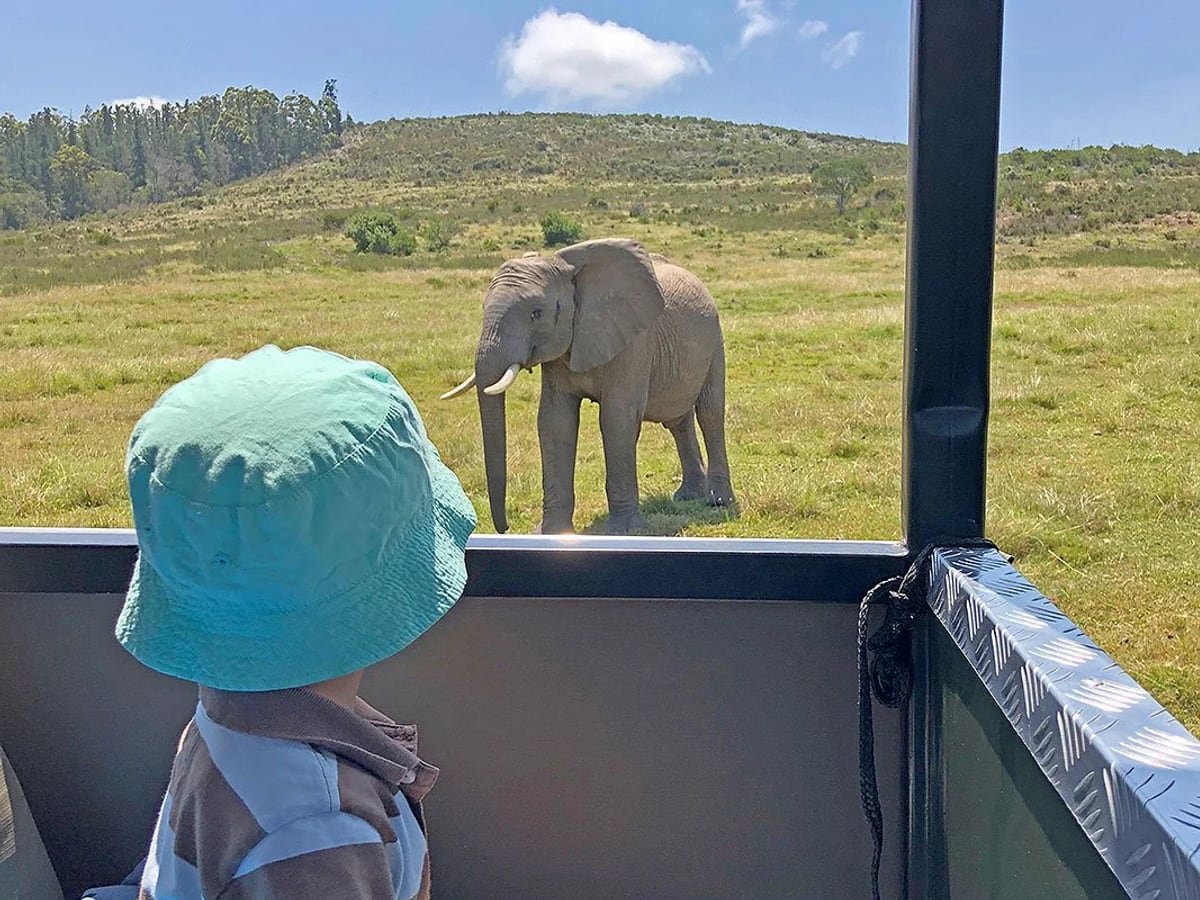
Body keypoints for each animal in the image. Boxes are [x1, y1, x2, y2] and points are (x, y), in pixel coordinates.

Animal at [441, 237, 734, 535]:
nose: (505, 528)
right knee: (677, 421)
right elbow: (555, 421)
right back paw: (688, 496)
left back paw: (718, 501)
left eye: (536, 314)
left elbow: (617, 419)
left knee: (709, 413)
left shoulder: (634, 342)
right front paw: (550, 533)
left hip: (715, 340)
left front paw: (622, 531)